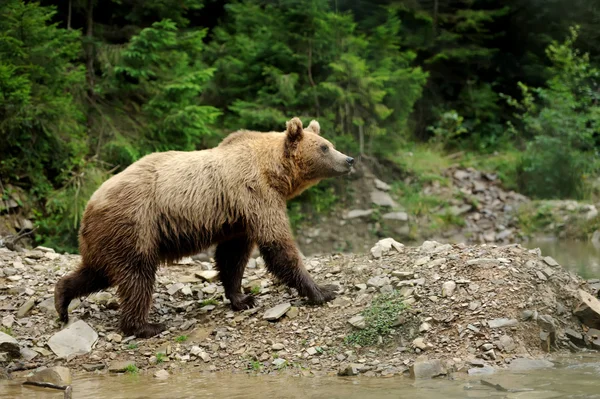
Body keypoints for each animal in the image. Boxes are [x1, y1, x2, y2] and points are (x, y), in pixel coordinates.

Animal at [54, 117, 354, 340]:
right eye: (324, 147)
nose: (349, 159)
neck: (274, 172)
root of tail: (89, 204)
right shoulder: (255, 194)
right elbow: (277, 243)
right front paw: (323, 290)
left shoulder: (238, 217)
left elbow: (233, 257)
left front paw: (242, 298)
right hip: (134, 223)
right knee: (137, 274)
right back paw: (145, 326)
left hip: (107, 237)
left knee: (98, 272)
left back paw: (62, 301)